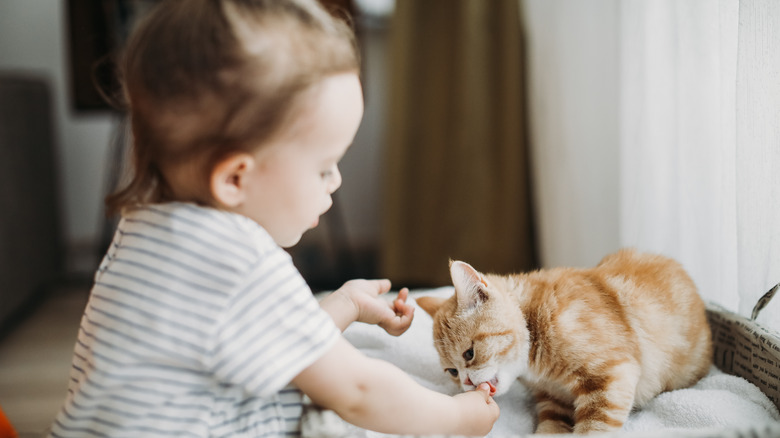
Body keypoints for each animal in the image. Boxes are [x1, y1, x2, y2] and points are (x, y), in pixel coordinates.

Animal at [420, 250, 712, 434]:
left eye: (469, 354)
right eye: (452, 372)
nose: (467, 383)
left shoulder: (611, 377)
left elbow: (592, 431)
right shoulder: (552, 399)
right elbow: (551, 427)